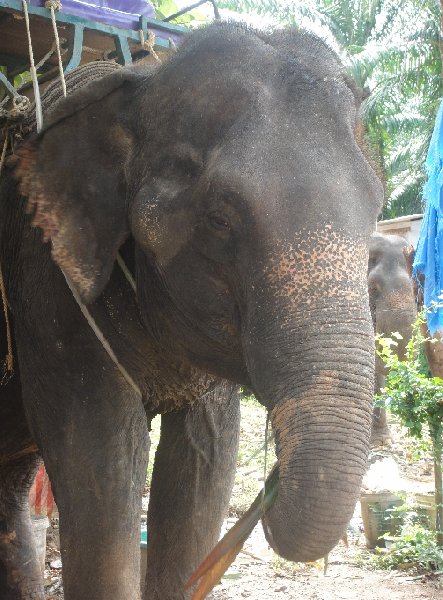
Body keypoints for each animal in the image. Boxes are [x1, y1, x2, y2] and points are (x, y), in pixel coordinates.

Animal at [0, 21, 382, 600]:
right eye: (220, 218)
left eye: (377, 207)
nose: (270, 494)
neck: (140, 81)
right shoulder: (50, 285)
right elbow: (101, 462)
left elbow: (205, 467)